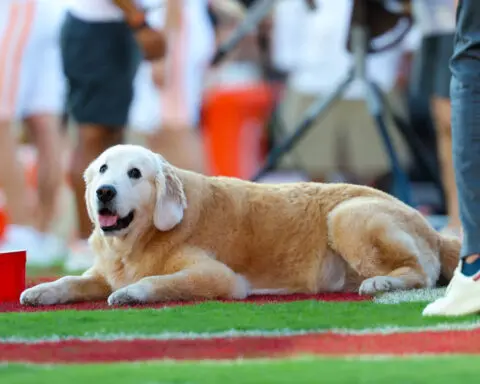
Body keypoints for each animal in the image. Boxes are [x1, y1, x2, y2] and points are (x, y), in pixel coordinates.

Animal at [19, 144, 462, 306]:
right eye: (103, 169)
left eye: (134, 173)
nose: (105, 192)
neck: (138, 240)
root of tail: (434, 228)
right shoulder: (102, 271)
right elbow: (73, 280)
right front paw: (42, 289)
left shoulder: (219, 276)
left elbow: (161, 281)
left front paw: (132, 292)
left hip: (347, 215)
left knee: (422, 273)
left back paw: (382, 283)